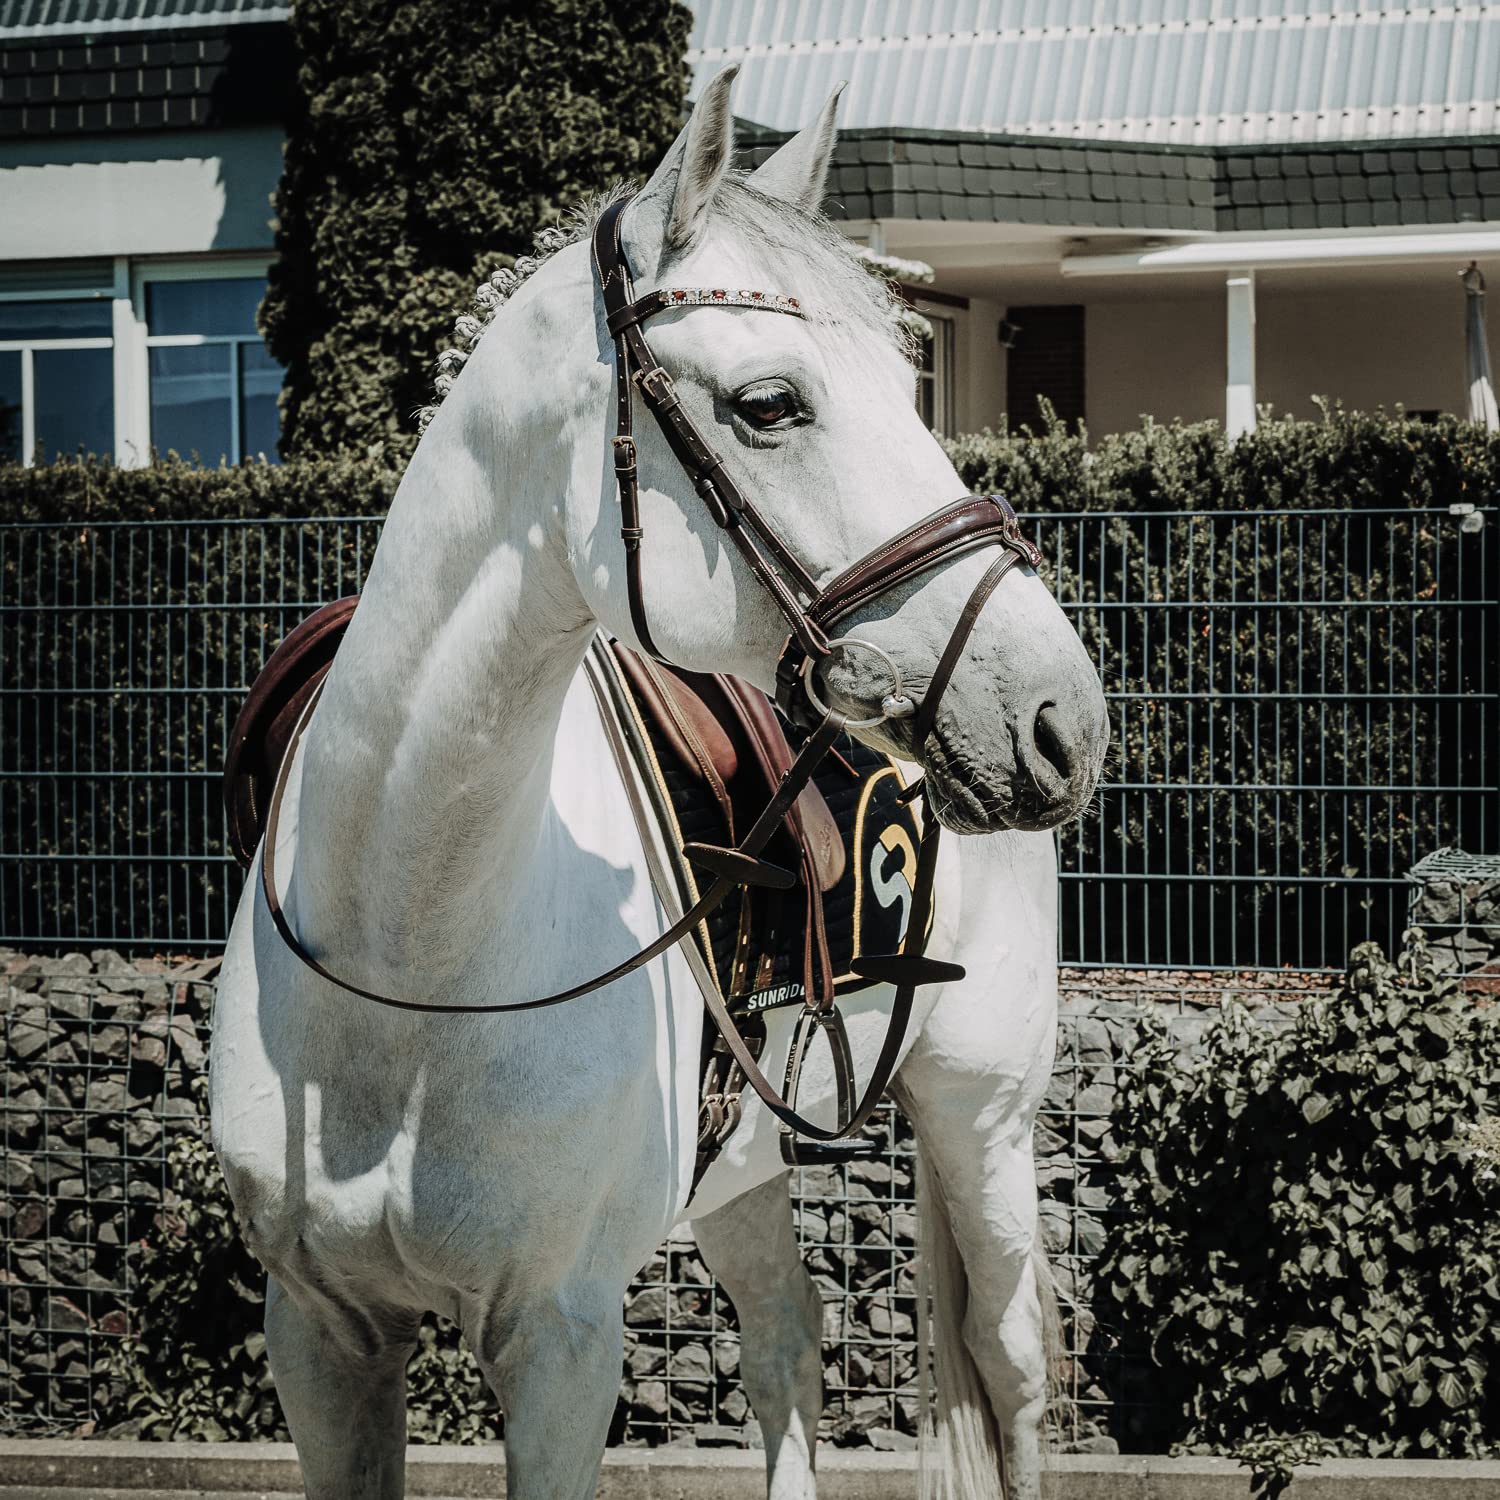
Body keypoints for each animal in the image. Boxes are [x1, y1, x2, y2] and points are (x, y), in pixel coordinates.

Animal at [209, 68, 1109, 1500]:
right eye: (770, 403)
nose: (1057, 717)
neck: (410, 950)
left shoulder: (562, 1343)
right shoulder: (321, 1335)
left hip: (984, 1125)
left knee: (1011, 1378)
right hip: (740, 1171)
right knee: (789, 1345)